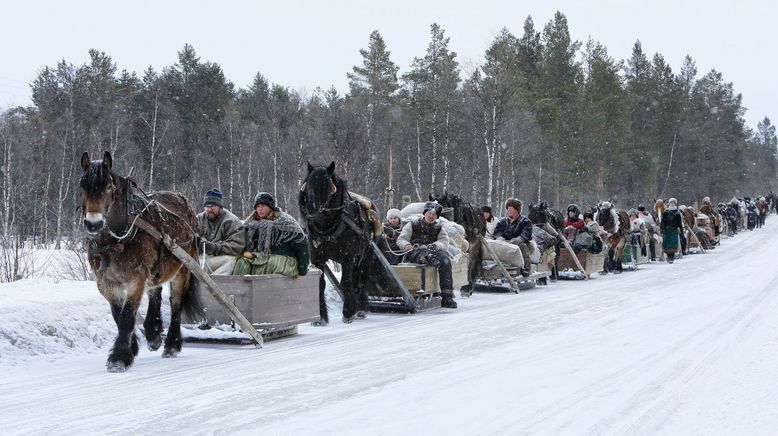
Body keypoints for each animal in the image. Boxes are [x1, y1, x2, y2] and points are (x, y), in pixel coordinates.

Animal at [77, 151, 200, 372]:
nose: (93, 224)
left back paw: (171, 344)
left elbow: (126, 317)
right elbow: (118, 316)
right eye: (83, 186)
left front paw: (119, 357)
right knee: (155, 291)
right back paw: (153, 332)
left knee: (176, 303)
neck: (114, 242)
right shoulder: (106, 284)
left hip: (184, 267)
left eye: (108, 187)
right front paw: (131, 347)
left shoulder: (135, 279)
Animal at [298, 160, 392, 324]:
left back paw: (360, 308)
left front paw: (348, 313)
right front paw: (321, 317)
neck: (327, 228)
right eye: (308, 185)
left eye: (327, 187)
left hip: (366, 254)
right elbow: (320, 284)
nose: (311, 211)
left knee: (361, 278)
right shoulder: (317, 258)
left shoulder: (348, 256)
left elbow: (346, 282)